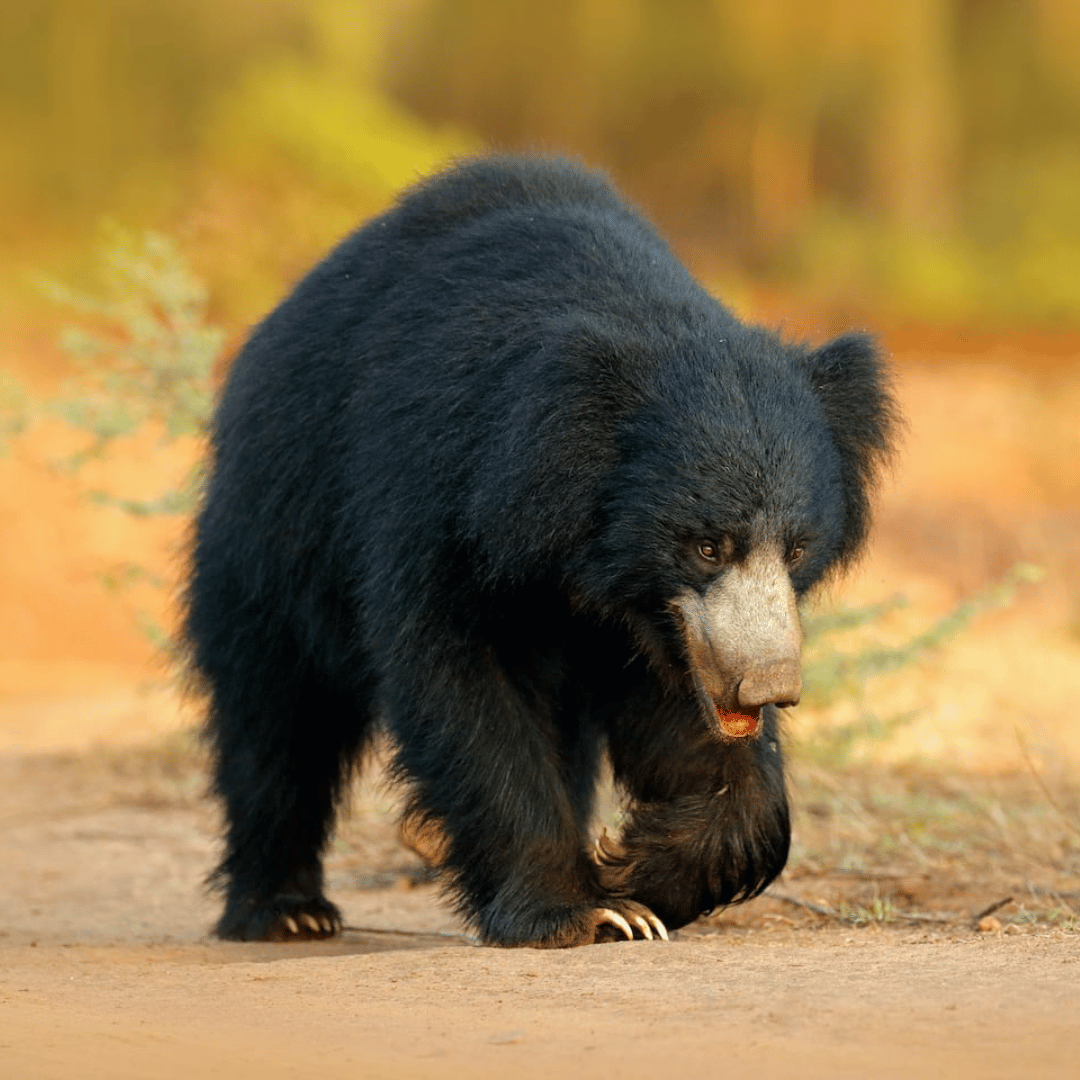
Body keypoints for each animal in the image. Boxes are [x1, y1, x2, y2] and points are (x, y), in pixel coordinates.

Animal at [184, 154, 897, 948]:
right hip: (269, 541)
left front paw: (636, 869)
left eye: (797, 549)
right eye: (708, 545)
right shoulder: (440, 496)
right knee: (277, 722)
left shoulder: (661, 622)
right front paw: (581, 910)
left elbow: (685, 715)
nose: (766, 687)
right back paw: (285, 910)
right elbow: (464, 682)